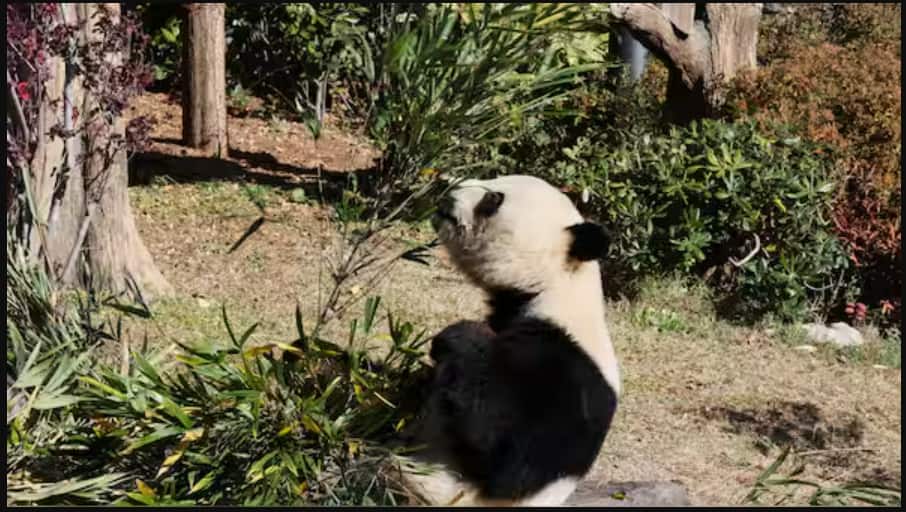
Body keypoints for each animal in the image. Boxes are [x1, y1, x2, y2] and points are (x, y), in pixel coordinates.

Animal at [396, 175, 621, 507]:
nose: (448, 195)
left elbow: (513, 461)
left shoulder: (567, 374)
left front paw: (460, 337)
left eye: (493, 199)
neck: (554, 290)